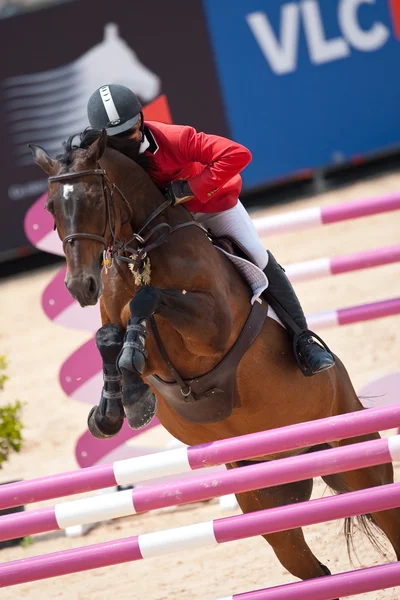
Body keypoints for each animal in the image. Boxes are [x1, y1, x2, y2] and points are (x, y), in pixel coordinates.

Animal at [28, 130, 400, 592]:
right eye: (51, 207)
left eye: (96, 198)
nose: (81, 286)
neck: (143, 248)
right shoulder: (130, 331)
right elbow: (110, 336)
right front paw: (114, 409)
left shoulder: (213, 330)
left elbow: (144, 303)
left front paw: (131, 385)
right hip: (268, 502)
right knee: (310, 570)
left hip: (361, 461)